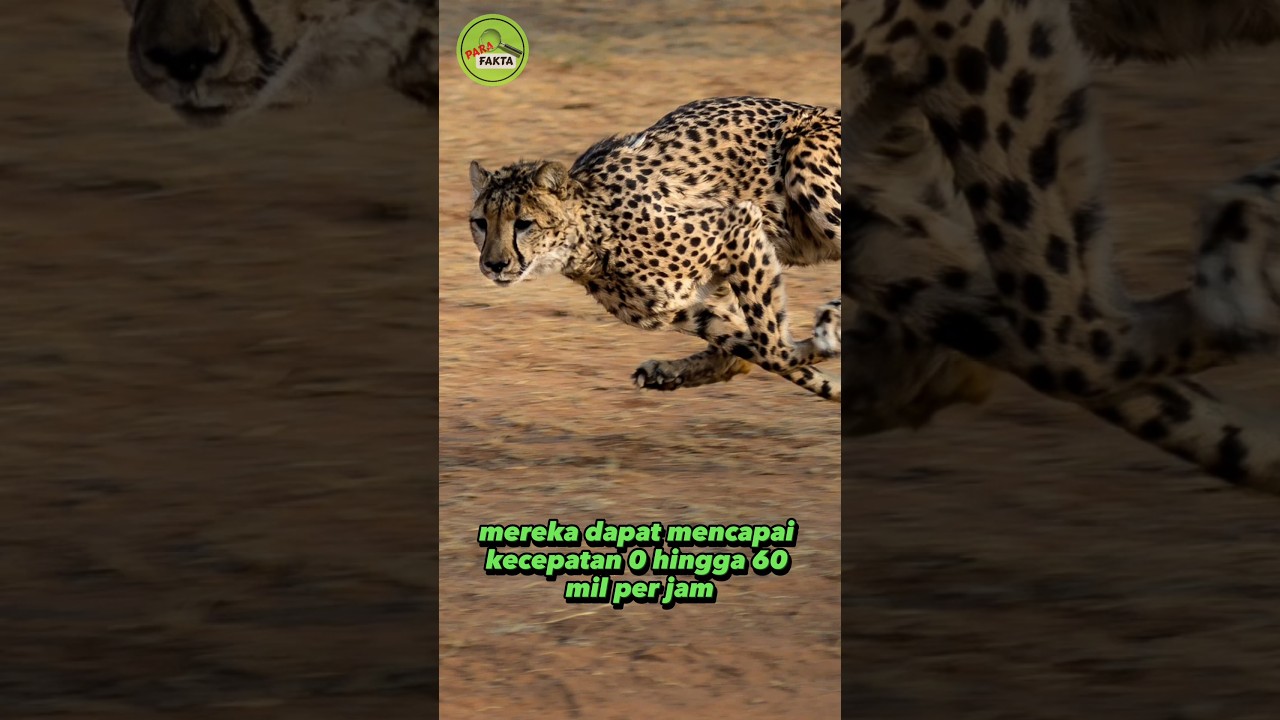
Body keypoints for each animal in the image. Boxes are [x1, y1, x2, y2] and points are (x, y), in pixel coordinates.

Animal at [467, 96, 843, 402]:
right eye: (480, 223)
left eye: (524, 223)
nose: (494, 264)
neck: (589, 237)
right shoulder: (690, 308)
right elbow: (760, 351)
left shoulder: (738, 224)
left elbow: (773, 346)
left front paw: (828, 333)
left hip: (804, 155)